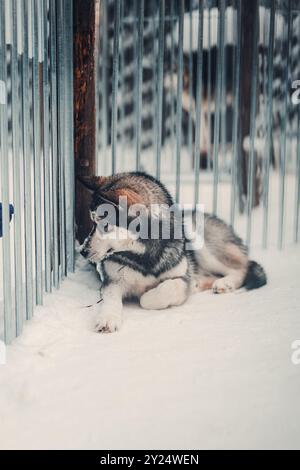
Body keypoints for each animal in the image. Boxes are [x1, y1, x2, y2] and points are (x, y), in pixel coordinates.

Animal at [78, 171, 266, 332]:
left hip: (203, 245)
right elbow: (110, 299)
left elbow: (158, 293)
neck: (143, 256)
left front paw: (149, 295)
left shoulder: (180, 278)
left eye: (105, 225)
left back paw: (225, 283)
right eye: (92, 223)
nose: (82, 251)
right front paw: (108, 318)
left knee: (242, 267)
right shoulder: (113, 281)